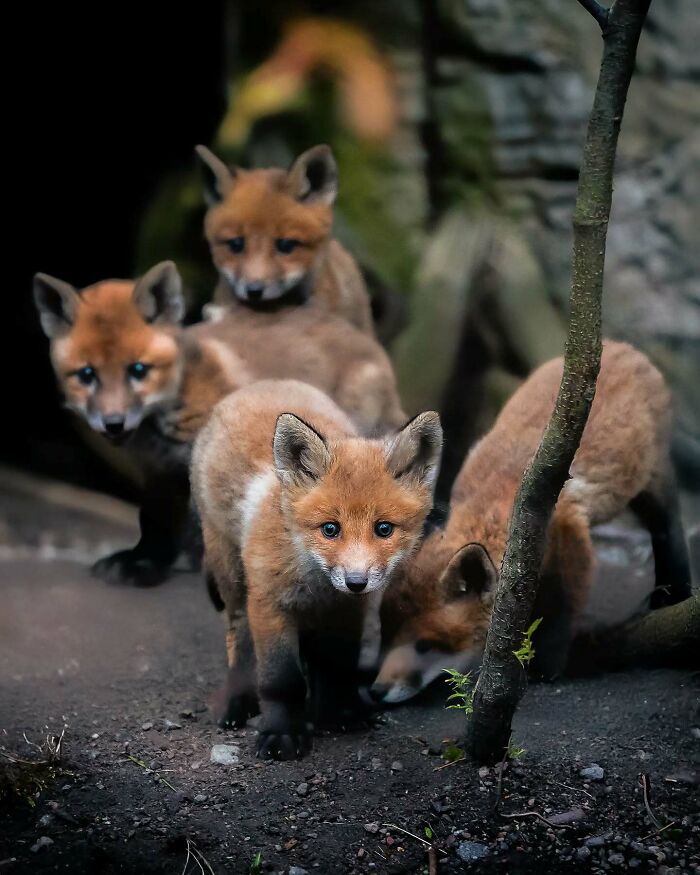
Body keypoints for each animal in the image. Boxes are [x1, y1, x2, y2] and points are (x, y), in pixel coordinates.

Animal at [33, 262, 406, 586]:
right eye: (87, 375)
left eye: (138, 370)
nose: (113, 423)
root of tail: (366, 341)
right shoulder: (160, 472)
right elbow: (154, 521)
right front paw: (145, 561)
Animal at [190, 379, 442, 759]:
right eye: (330, 529)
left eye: (383, 529)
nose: (356, 581)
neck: (316, 583)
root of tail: (263, 383)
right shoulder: (269, 602)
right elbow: (281, 680)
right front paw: (282, 732)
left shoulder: (348, 611)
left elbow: (337, 665)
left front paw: (340, 713)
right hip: (232, 578)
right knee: (239, 639)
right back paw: (237, 701)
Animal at [371, 341, 692, 704]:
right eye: (387, 635)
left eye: (425, 645)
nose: (377, 691)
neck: (500, 504)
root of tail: (622, 346)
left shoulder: (568, 530)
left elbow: (563, 604)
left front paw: (545, 664)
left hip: (652, 483)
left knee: (668, 531)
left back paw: (674, 594)